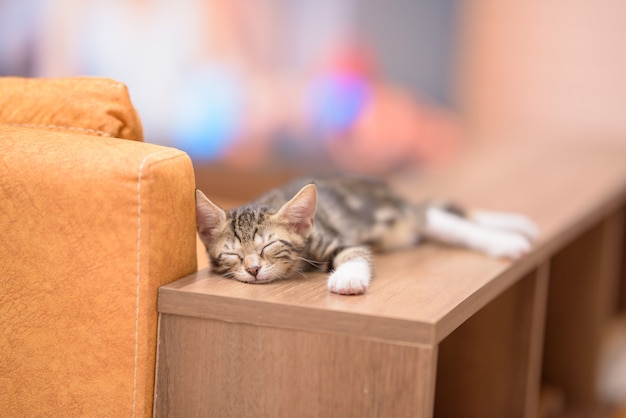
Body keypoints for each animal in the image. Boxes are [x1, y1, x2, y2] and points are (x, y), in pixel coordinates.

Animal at [196, 176, 536, 294]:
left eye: (270, 245)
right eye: (233, 253)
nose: (253, 269)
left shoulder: (329, 236)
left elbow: (355, 252)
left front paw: (348, 279)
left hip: (394, 218)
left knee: (439, 218)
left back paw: (509, 237)